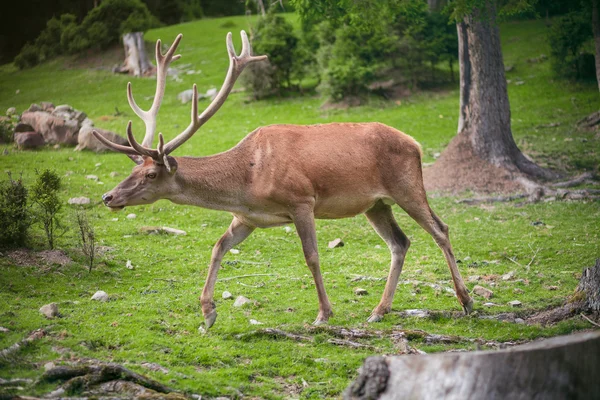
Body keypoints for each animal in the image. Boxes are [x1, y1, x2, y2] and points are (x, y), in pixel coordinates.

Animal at [96, 32, 474, 332]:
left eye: (150, 174)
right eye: (133, 169)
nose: (109, 197)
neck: (247, 182)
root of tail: (415, 143)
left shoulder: (301, 201)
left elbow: (312, 256)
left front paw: (323, 314)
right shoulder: (246, 218)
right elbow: (218, 246)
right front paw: (207, 313)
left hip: (407, 186)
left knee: (440, 229)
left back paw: (466, 301)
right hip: (376, 204)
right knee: (400, 242)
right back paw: (379, 310)